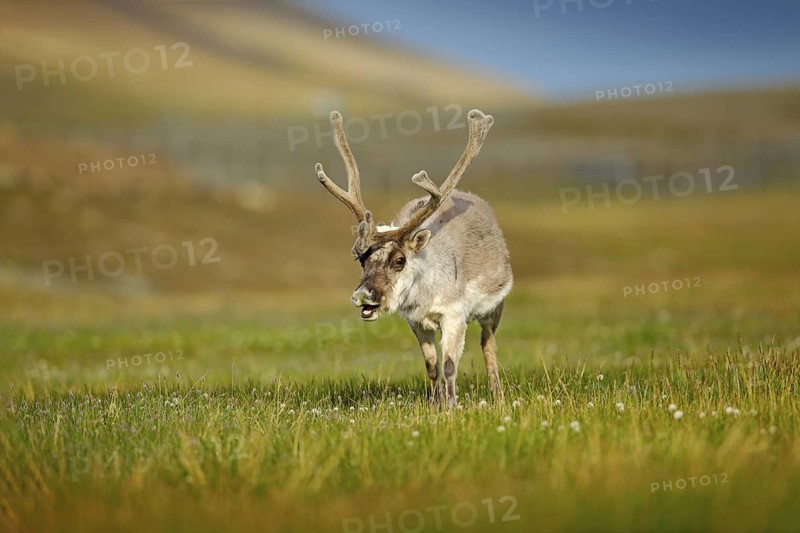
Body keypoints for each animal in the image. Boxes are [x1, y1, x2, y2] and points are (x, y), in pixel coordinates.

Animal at [314, 108, 512, 407]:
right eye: (362, 259)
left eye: (399, 260)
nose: (362, 295)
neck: (425, 293)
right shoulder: (416, 322)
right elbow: (431, 365)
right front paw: (435, 403)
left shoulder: (454, 316)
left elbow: (450, 365)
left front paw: (451, 406)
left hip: (493, 308)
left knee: (488, 345)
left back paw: (498, 396)